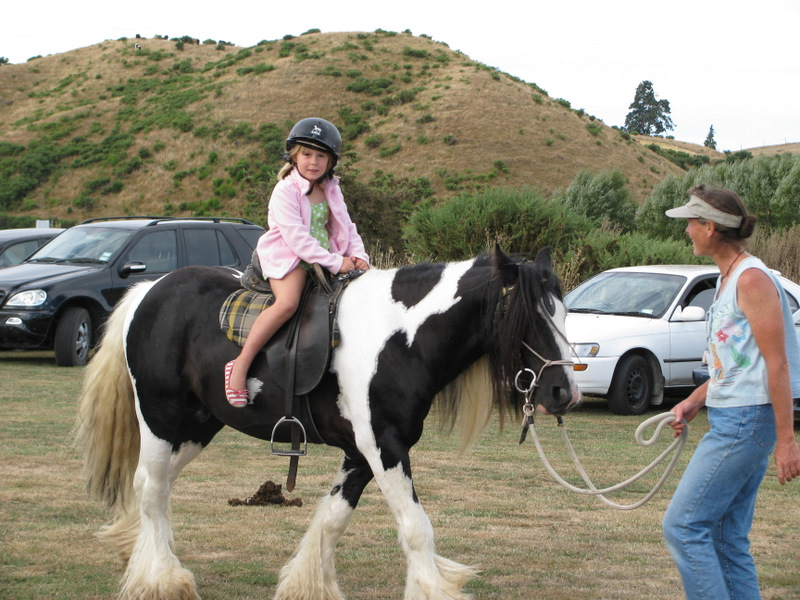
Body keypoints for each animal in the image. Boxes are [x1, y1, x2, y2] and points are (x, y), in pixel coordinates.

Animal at [76, 246, 579, 600]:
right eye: (527, 315)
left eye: (562, 311)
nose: (564, 392)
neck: (399, 336)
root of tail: (149, 292)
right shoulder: (384, 446)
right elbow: (416, 527)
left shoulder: (361, 452)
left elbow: (333, 518)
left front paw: (304, 584)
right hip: (161, 415)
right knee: (149, 486)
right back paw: (162, 578)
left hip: (197, 426)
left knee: (157, 489)